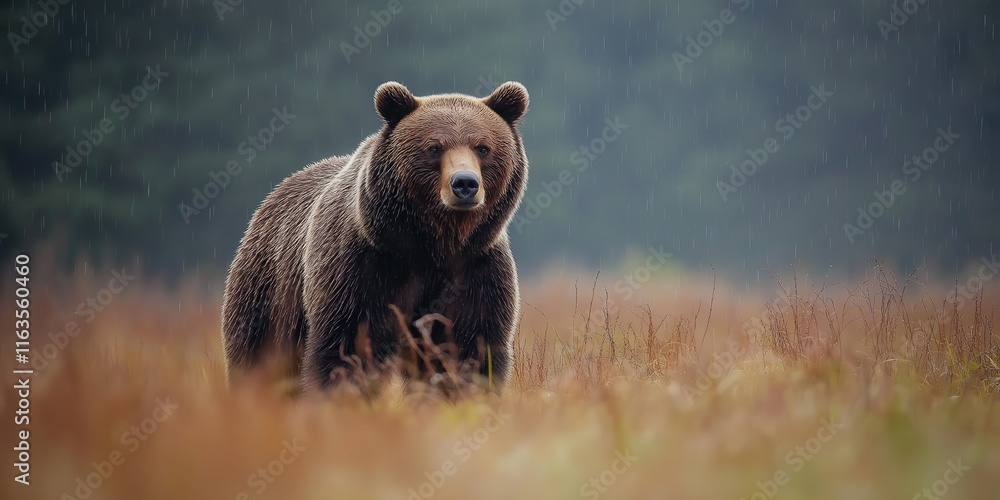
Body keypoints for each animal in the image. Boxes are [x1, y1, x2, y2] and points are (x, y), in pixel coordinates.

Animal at [221, 81, 529, 397]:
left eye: (483, 147)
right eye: (434, 147)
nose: (465, 184)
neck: (433, 243)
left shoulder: (476, 269)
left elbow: (468, 347)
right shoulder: (361, 266)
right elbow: (348, 345)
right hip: (268, 292)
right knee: (258, 356)